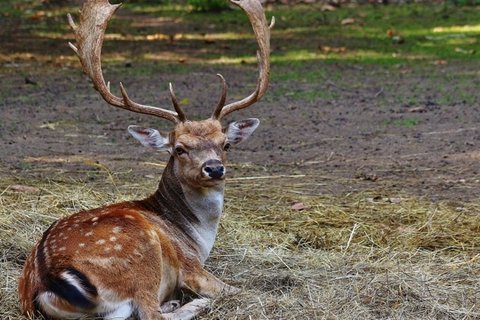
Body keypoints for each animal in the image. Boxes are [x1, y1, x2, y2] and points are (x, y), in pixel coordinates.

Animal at [16, 0, 272, 318]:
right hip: (142, 255)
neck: (195, 237)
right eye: (179, 148)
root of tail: (50, 275)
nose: (214, 168)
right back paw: (188, 303)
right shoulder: (191, 266)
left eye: (225, 144)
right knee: (152, 311)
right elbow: (241, 291)